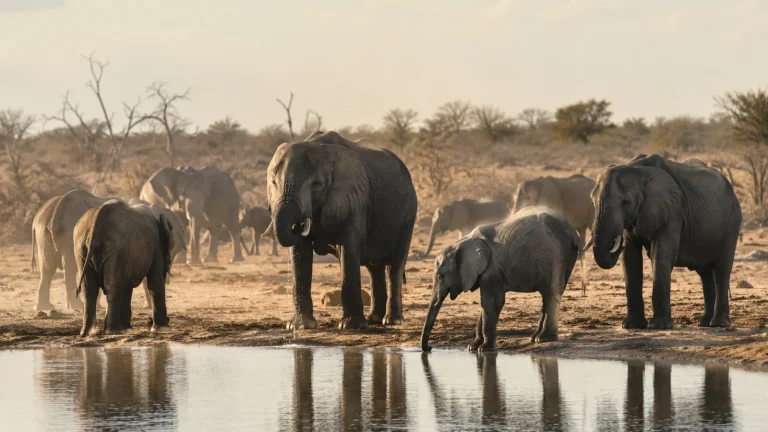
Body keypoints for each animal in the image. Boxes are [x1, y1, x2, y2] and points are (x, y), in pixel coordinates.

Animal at [74, 200, 174, 336]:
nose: (169, 320)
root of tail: (97, 224)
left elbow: (127, 286)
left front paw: (128, 328)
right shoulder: (156, 246)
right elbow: (155, 282)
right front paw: (163, 329)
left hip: (81, 249)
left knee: (89, 289)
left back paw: (89, 332)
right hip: (117, 250)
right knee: (113, 287)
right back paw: (113, 331)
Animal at [266, 130, 418, 330]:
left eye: (316, 184)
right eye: (274, 182)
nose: (298, 225)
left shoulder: (356, 199)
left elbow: (349, 248)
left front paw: (351, 326)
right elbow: (300, 252)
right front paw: (300, 326)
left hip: (408, 216)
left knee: (395, 266)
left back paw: (392, 321)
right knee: (374, 268)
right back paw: (374, 320)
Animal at [421, 206, 581, 352]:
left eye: (440, 276)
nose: (429, 348)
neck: (462, 243)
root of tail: (572, 231)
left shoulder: (492, 268)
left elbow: (491, 302)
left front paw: (483, 349)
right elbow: (487, 304)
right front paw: (472, 347)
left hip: (553, 255)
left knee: (551, 293)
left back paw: (544, 339)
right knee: (548, 295)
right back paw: (534, 337)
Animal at [585, 154, 741, 329]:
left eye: (626, 203)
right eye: (592, 202)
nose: (616, 243)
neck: (637, 169)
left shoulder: (672, 211)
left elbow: (661, 254)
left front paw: (659, 326)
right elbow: (631, 258)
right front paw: (631, 326)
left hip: (732, 222)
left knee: (721, 269)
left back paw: (718, 324)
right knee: (705, 273)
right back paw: (704, 323)